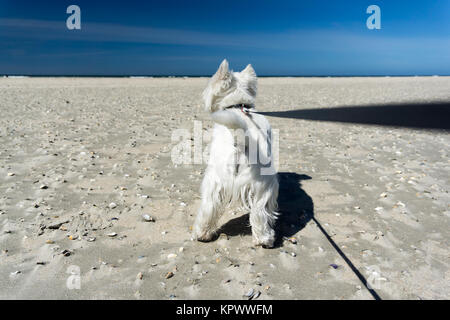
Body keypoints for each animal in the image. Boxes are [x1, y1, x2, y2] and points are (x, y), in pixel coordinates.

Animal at [194, 59, 282, 248]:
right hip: (260, 186)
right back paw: (264, 240)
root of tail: (241, 140)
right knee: (259, 212)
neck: (238, 106)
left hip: (218, 180)